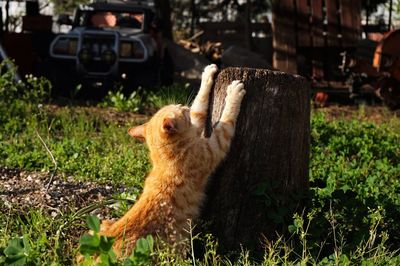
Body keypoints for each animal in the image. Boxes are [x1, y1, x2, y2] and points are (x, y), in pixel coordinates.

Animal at [98, 64, 245, 256]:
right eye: (181, 111)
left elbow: (199, 106)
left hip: (104, 223)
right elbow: (226, 120)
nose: (183, 105)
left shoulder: (196, 128)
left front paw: (207, 75)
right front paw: (234, 93)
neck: (164, 159)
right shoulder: (215, 145)